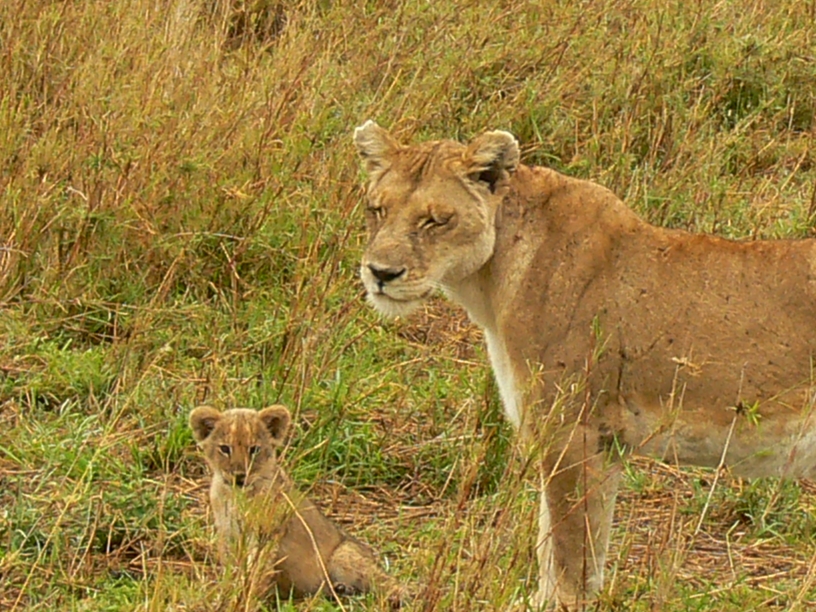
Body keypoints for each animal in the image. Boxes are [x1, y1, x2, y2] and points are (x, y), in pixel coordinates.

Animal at [189, 405, 403, 607]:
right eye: (225, 448)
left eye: (254, 449)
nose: (240, 476)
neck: (237, 495)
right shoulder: (228, 532)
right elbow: (231, 568)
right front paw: (227, 593)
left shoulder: (266, 534)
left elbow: (257, 570)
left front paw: (248, 598)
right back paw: (340, 590)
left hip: (344, 556)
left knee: (387, 585)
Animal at [353, 120, 816, 609]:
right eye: (377, 210)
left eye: (437, 220)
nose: (380, 273)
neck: (490, 281)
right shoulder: (596, 442)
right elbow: (561, 543)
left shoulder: (571, 431)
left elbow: (567, 549)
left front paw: (557, 602)